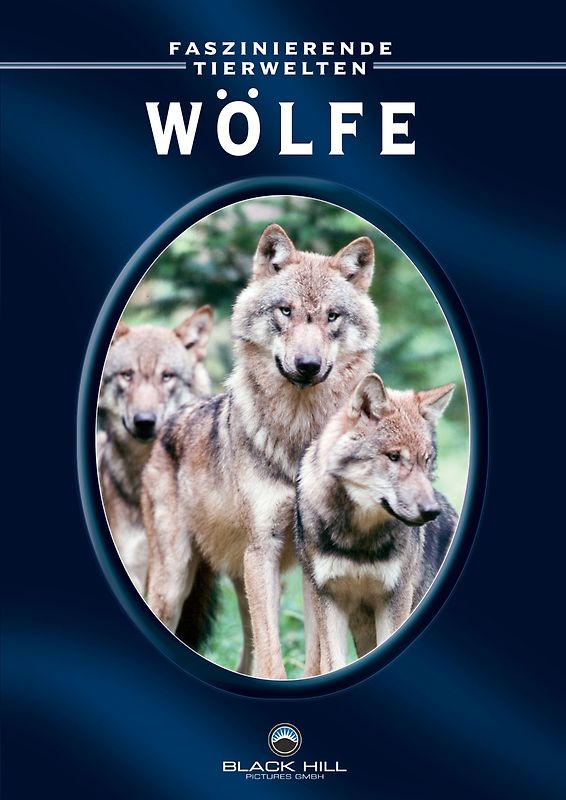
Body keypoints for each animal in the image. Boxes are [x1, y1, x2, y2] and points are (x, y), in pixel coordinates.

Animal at [142, 224, 380, 678]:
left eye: (332, 316)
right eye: (285, 311)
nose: (307, 364)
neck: (298, 434)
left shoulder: (311, 560)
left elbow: (316, 653)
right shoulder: (263, 549)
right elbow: (273, 656)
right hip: (177, 582)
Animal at [295, 372, 458, 676]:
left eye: (426, 460)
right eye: (393, 457)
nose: (432, 511)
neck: (359, 540)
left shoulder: (395, 598)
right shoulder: (328, 598)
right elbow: (332, 662)